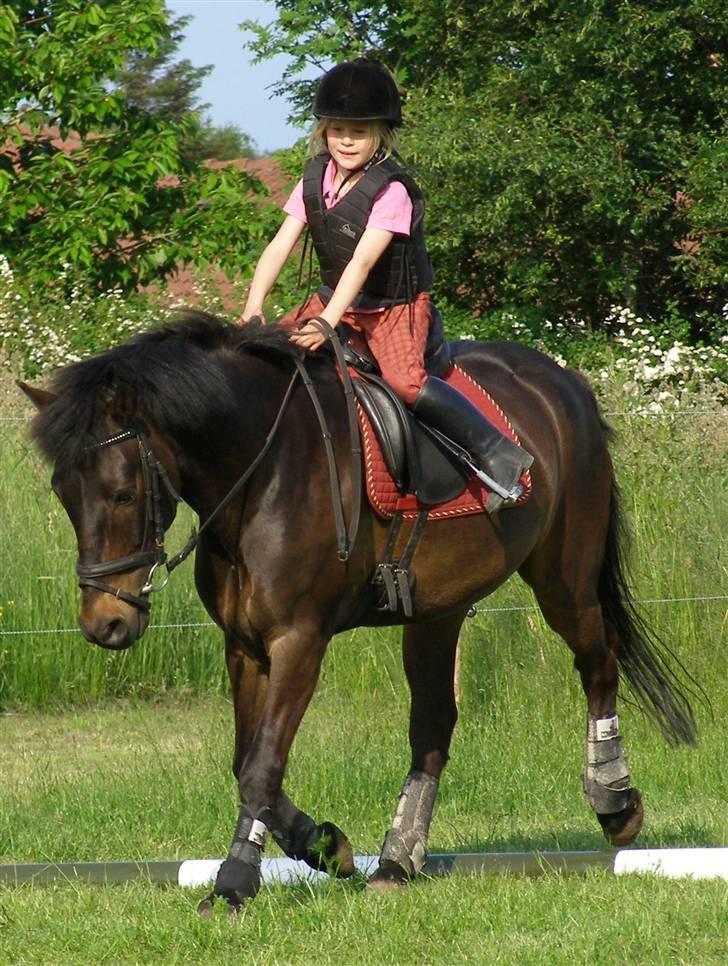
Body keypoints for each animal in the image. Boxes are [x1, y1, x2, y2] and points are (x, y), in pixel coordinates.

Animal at [19, 316, 696, 916]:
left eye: (123, 493)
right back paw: (397, 861)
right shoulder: (244, 646)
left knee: (599, 662)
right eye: (62, 493)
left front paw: (234, 885)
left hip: (564, 581)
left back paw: (615, 804)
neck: (261, 473)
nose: (105, 625)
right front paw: (326, 845)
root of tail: (563, 381)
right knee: (433, 725)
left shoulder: (299, 641)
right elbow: (246, 762)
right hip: (438, 609)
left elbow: (261, 766)